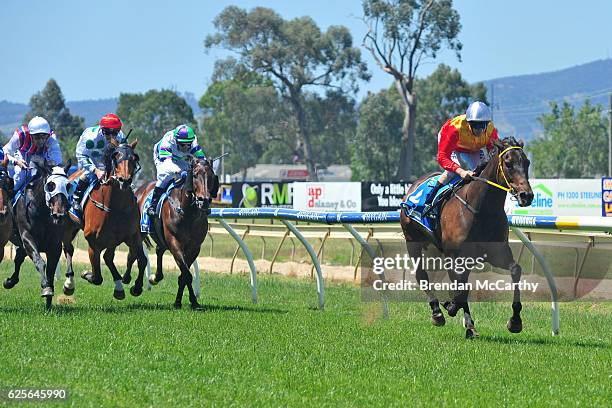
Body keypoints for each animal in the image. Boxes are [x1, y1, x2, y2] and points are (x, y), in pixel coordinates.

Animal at [61, 141, 147, 300]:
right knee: (68, 249)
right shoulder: (93, 243)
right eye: (115, 156)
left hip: (112, 240)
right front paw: (86, 273)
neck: (116, 207)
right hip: (68, 227)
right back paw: (69, 283)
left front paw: (136, 287)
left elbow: (142, 260)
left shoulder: (132, 236)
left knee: (107, 257)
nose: (124, 180)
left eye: (134, 158)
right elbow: (97, 277)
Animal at [123, 159, 213, 310]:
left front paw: (184, 301)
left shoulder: (195, 247)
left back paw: (155, 277)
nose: (204, 200)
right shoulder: (174, 242)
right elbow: (186, 274)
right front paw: (191, 301)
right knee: (135, 256)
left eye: (211, 175)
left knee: (158, 250)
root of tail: (140, 189)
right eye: (195, 175)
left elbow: (183, 275)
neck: (187, 212)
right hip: (139, 232)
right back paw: (131, 282)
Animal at [400, 137, 532, 338]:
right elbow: (461, 288)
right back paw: (438, 313)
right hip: (412, 241)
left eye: (527, 163)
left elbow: (515, 270)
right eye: (508, 163)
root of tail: (414, 187)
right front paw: (451, 308)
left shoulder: (497, 252)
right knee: (421, 274)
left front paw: (515, 321)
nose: (527, 195)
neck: (482, 210)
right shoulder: (455, 255)